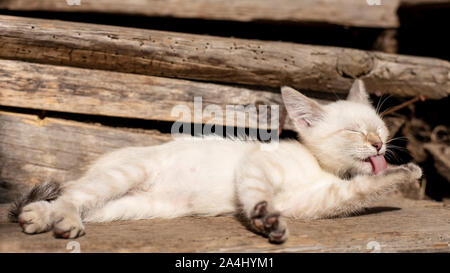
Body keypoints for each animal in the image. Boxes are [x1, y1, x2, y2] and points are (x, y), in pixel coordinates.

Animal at [9, 78, 422, 242]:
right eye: (354, 132)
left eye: (379, 129)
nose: (379, 145)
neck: (319, 166)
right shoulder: (256, 164)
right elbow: (256, 191)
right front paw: (262, 217)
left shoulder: (313, 201)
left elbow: (359, 192)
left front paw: (405, 173)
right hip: (124, 174)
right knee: (72, 195)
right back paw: (54, 219)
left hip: (126, 207)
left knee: (81, 202)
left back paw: (47, 219)